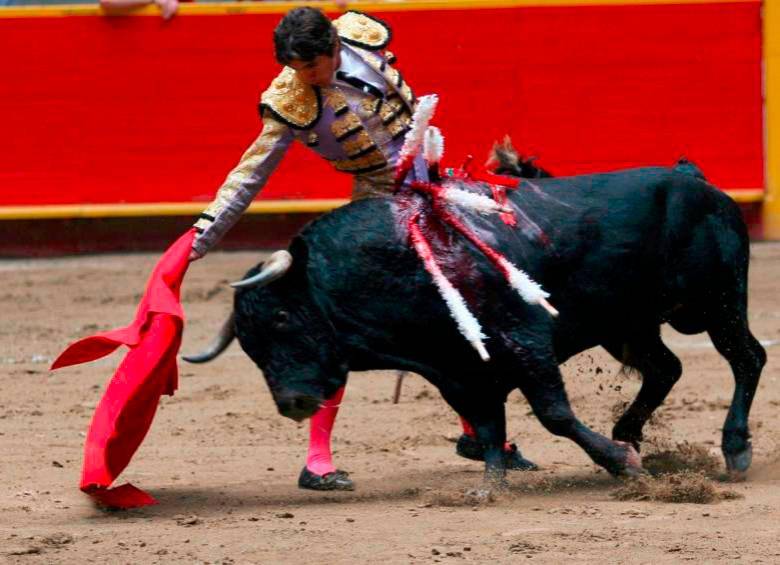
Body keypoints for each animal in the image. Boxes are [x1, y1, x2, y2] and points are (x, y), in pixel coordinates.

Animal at [195, 165, 768, 482]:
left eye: (283, 316)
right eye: (248, 347)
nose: (292, 402)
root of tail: (697, 181)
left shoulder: (527, 339)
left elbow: (553, 413)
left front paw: (618, 463)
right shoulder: (459, 369)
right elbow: (490, 424)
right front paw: (492, 483)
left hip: (716, 303)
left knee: (747, 357)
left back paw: (734, 448)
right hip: (628, 326)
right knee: (666, 368)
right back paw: (629, 431)